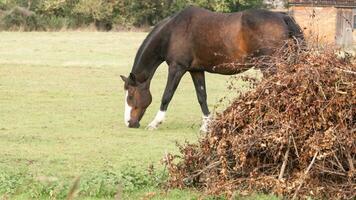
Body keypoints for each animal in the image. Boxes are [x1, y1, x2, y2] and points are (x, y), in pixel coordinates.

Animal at [120, 5, 304, 131]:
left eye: (131, 95)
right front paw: (206, 125)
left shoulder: (177, 68)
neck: (172, 32)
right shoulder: (196, 70)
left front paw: (155, 123)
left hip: (270, 66)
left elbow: (167, 95)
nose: (129, 123)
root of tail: (282, 16)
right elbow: (202, 97)